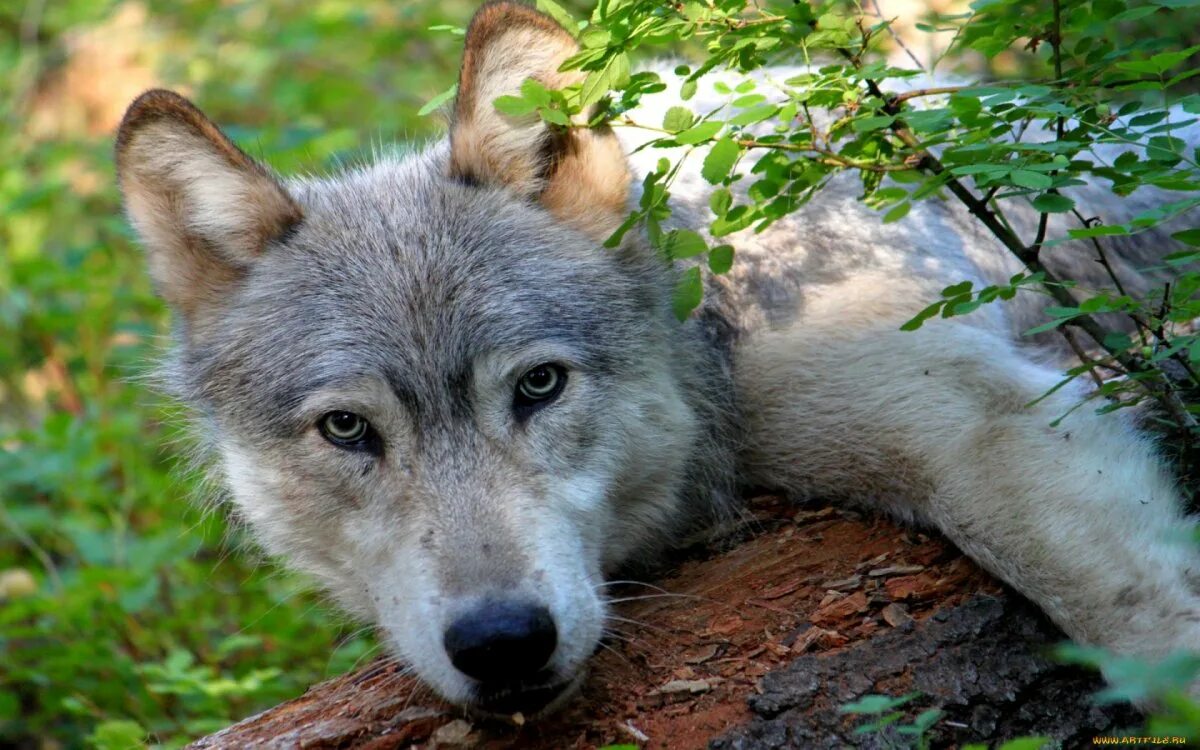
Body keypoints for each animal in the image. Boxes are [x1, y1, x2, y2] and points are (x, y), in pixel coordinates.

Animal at [112, 0, 1200, 720]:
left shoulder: (965, 413)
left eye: (539, 385)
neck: (711, 305)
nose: (502, 645)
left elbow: (1146, 629)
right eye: (347, 429)